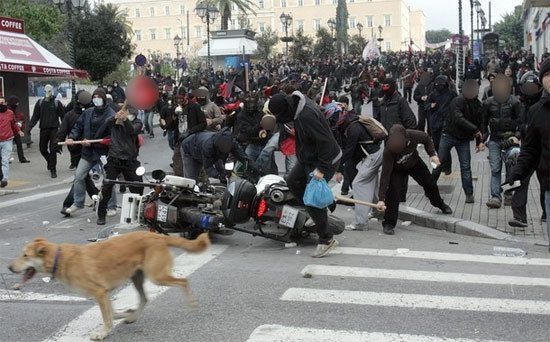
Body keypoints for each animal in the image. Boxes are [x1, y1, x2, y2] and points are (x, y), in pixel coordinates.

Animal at [8, 231, 211, 340]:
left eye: (25, 255)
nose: (9, 268)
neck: (60, 258)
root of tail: (157, 236)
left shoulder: (100, 292)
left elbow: (107, 317)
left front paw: (103, 333)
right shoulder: (105, 293)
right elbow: (111, 313)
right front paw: (123, 315)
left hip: (157, 276)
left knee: (183, 281)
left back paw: (192, 303)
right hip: (137, 278)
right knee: (145, 299)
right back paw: (133, 317)